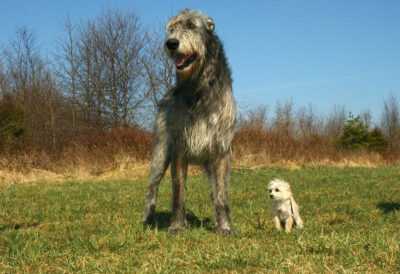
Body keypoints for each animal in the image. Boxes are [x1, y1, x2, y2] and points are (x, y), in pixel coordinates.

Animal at [144, 9, 236, 234]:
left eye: (192, 26)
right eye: (171, 28)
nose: (171, 43)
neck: (198, 88)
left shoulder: (221, 150)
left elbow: (221, 195)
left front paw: (225, 227)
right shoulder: (179, 148)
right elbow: (178, 192)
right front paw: (177, 226)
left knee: (215, 191)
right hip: (160, 153)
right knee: (152, 188)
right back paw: (148, 219)